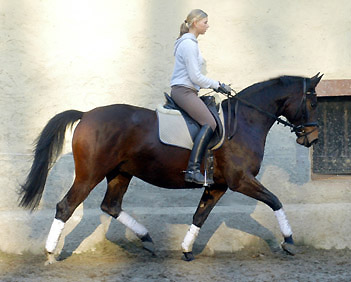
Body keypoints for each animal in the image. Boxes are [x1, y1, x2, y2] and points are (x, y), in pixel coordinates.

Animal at [19, 73, 324, 264]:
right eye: (312, 101)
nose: (312, 138)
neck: (246, 121)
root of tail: (86, 115)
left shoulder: (218, 185)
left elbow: (199, 216)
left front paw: (187, 250)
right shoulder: (240, 181)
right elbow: (275, 201)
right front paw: (289, 241)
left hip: (121, 173)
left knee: (111, 206)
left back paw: (147, 239)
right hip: (89, 175)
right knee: (66, 206)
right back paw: (50, 253)